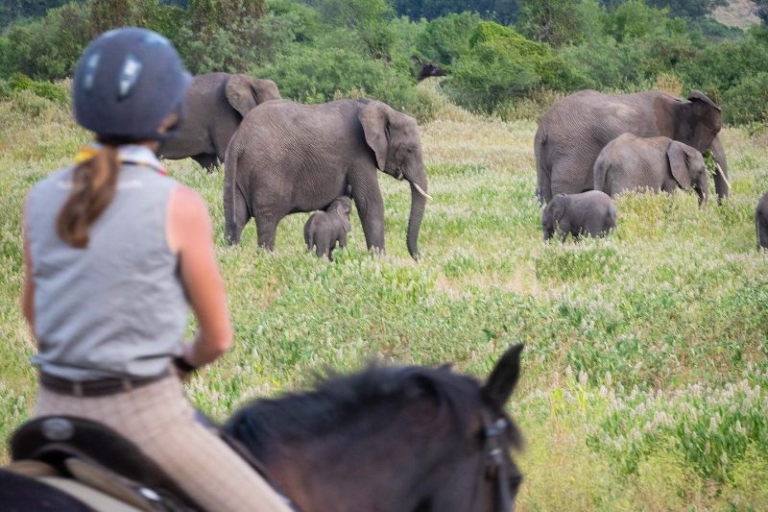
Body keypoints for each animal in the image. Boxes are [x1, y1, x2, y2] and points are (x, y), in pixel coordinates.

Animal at [224, 98, 430, 260]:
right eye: (409, 150)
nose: (419, 258)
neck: (371, 106)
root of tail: (238, 140)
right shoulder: (358, 154)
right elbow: (370, 203)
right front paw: (379, 261)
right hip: (268, 172)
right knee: (267, 219)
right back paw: (266, 259)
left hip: (236, 172)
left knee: (237, 217)